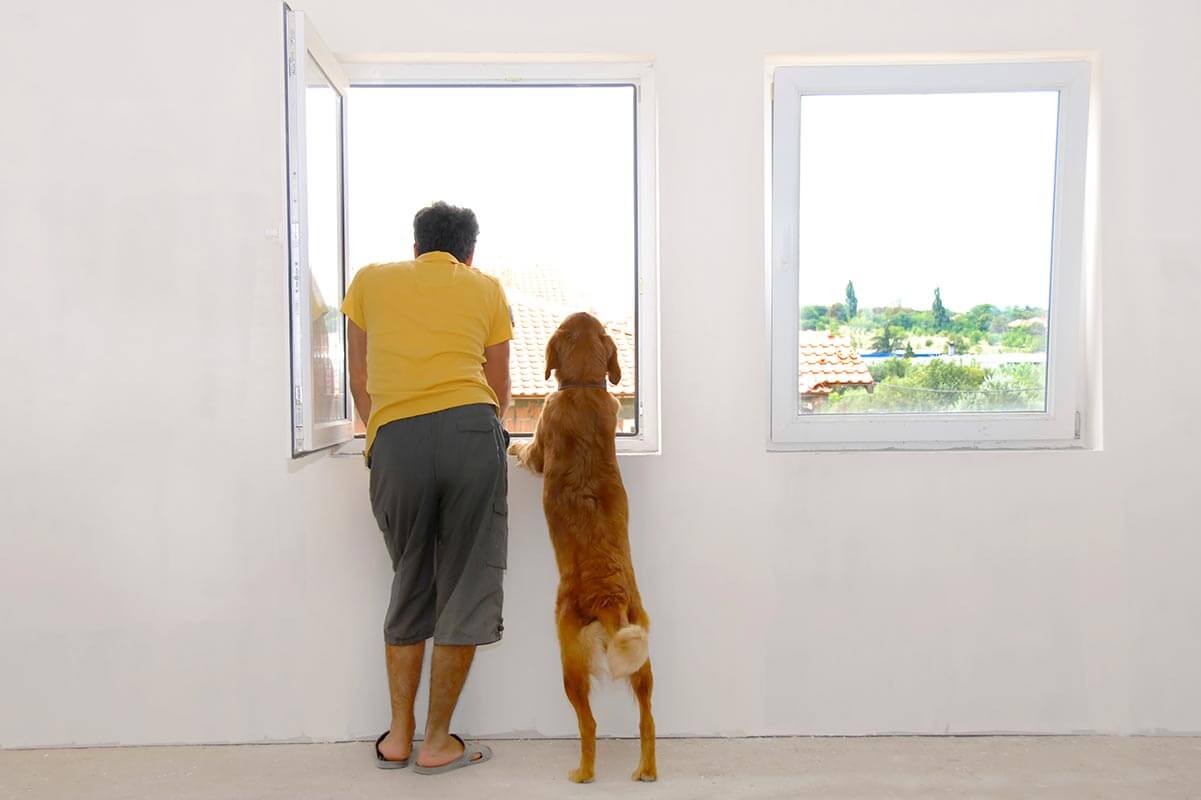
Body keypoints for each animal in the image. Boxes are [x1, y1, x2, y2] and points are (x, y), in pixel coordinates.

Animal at [506, 309, 658, 778]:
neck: (585, 389)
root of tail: (608, 598)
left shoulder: (541, 439)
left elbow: (528, 452)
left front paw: (513, 447)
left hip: (568, 660)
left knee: (588, 723)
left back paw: (583, 773)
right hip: (642, 658)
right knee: (647, 719)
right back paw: (646, 770)